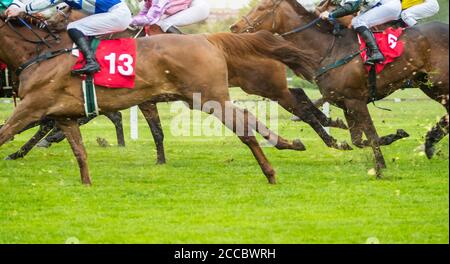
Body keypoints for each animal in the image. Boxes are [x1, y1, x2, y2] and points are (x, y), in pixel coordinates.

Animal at [0, 11, 320, 184]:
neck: (40, 55)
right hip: (203, 97)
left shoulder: (31, 107)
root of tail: (206, 38)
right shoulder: (64, 115)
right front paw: (86, 184)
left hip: (210, 97)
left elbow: (5, 133)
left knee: (245, 124)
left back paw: (271, 171)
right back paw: (290, 144)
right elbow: (79, 152)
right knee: (249, 117)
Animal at [230, 0, 448, 177]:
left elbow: (371, 135)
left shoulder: (356, 100)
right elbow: (358, 140)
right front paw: (394, 137)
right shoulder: (346, 104)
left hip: (440, 83)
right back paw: (430, 142)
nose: (234, 27)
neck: (329, 49)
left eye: (261, 8)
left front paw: (380, 168)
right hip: (430, 85)